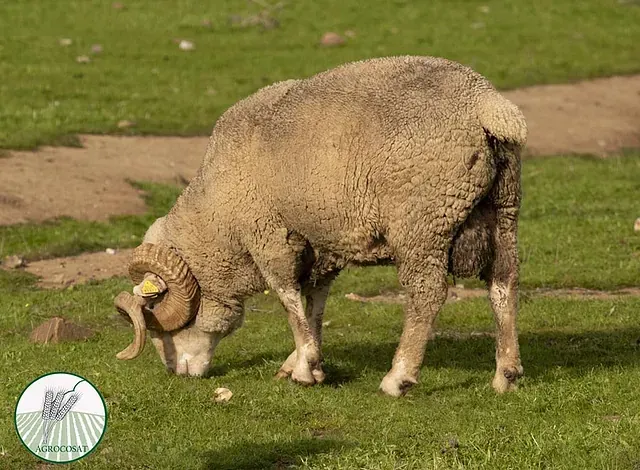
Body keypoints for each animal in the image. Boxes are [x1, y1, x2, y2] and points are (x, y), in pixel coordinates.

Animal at [113, 55, 527, 397]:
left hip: (421, 220)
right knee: (503, 282)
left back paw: (398, 378)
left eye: (155, 311)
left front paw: (305, 368)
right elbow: (315, 303)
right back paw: (505, 374)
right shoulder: (319, 242)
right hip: (503, 208)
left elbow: (289, 301)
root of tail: (486, 106)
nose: (174, 372)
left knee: (427, 293)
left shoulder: (269, 236)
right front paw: (303, 363)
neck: (218, 216)